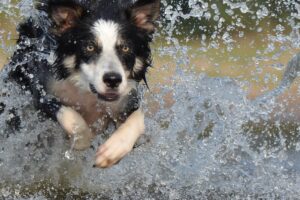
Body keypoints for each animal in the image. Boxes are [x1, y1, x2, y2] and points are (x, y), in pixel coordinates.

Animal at [8, 0, 161, 169]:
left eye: (125, 48)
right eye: (90, 47)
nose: (113, 79)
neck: (87, 91)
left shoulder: (128, 97)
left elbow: (138, 118)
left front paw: (112, 151)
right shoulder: (42, 89)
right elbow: (69, 115)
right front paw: (82, 140)